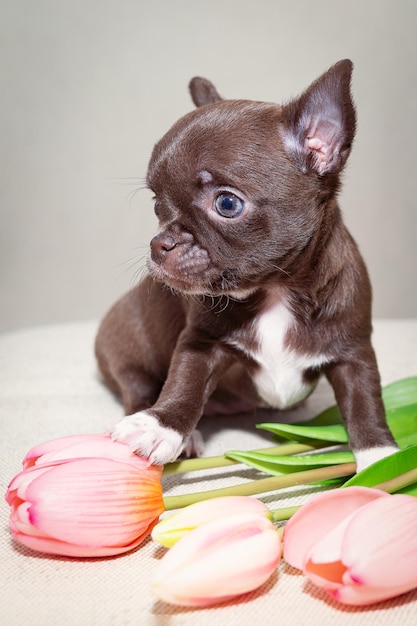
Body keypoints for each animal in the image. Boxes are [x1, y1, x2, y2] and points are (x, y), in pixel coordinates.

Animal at [95, 61, 396, 470]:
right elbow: (185, 383)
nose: (161, 244)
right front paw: (160, 427)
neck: (278, 289)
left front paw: (381, 459)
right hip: (128, 351)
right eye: (157, 205)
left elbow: (366, 403)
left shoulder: (354, 352)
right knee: (138, 389)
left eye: (227, 204)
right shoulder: (201, 343)